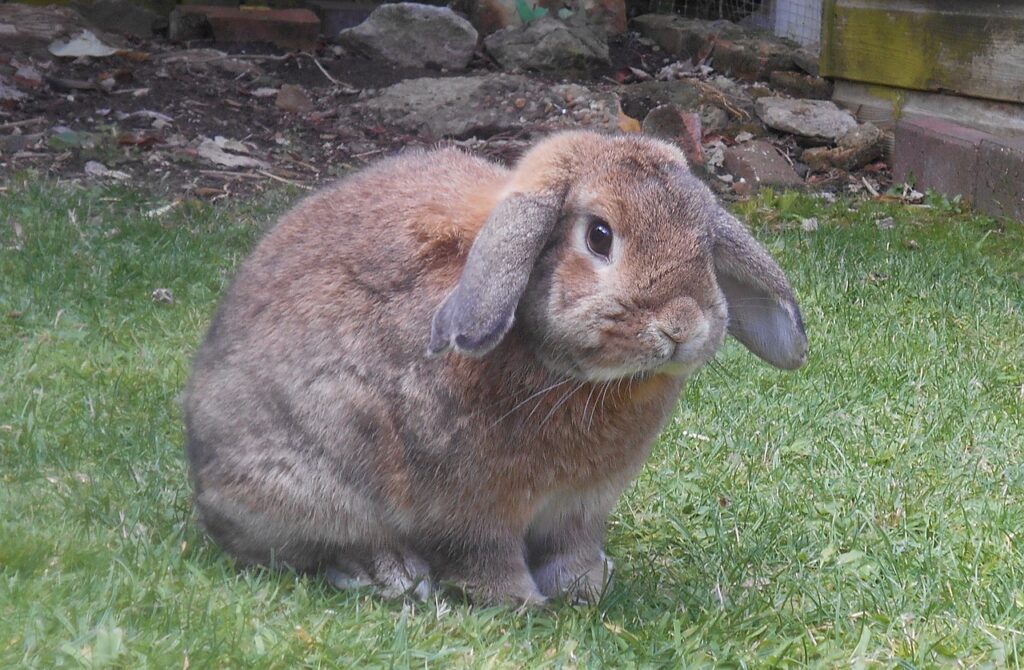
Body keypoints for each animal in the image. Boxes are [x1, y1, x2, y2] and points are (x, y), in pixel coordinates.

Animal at [184, 131, 806, 610]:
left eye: (705, 243)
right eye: (599, 236)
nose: (682, 325)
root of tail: (203, 480)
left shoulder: (581, 508)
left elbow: (573, 550)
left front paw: (584, 588)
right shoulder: (472, 506)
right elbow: (484, 556)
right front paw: (522, 602)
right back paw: (390, 574)